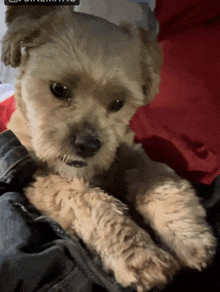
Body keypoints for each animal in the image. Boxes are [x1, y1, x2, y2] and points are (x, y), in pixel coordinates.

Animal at [1, 5, 216, 292]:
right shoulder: (40, 179)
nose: (89, 145)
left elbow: (157, 178)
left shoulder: (128, 151)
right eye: (58, 89)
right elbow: (91, 201)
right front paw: (140, 257)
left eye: (117, 104)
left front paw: (188, 233)